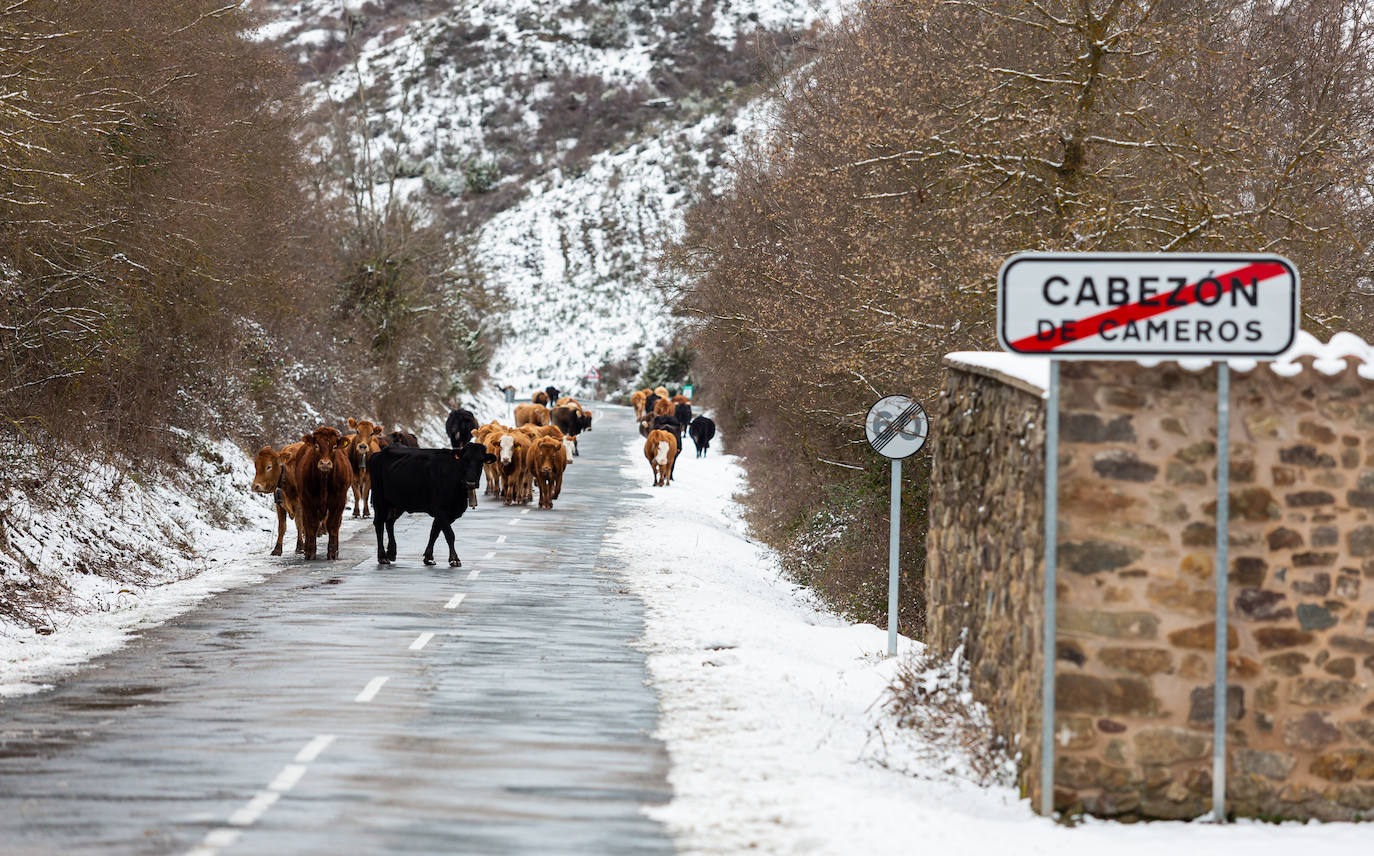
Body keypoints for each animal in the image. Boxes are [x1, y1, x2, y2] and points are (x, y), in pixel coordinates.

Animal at [292, 428, 354, 563]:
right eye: (316, 445)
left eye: (334, 446)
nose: (325, 463)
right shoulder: (307, 501)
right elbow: (311, 525)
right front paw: (310, 553)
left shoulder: (339, 501)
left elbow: (333, 525)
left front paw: (332, 553)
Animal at [368, 442, 497, 568]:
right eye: (464, 459)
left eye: (481, 461)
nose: (470, 482)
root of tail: (378, 453)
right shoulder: (440, 509)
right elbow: (449, 534)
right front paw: (454, 559)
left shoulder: (450, 513)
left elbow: (434, 532)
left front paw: (429, 558)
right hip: (380, 500)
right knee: (379, 524)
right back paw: (382, 557)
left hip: (398, 503)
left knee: (389, 522)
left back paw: (391, 553)